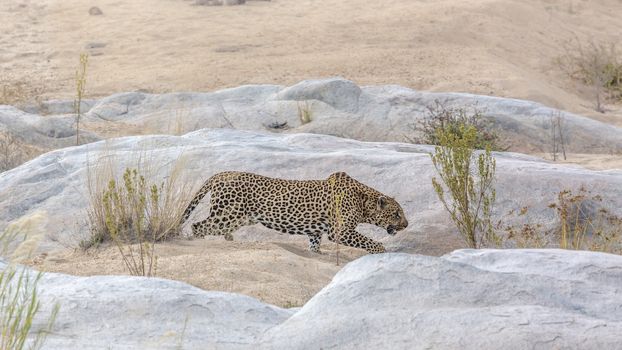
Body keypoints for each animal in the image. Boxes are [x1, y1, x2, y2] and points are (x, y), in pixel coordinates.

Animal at [180, 171, 410, 253]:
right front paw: (381, 250)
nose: (406, 224)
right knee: (198, 226)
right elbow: (369, 241)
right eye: (397, 214)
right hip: (227, 215)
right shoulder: (340, 231)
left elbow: (314, 246)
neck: (364, 203)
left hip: (236, 218)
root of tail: (220, 174)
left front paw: (316, 254)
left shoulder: (317, 231)